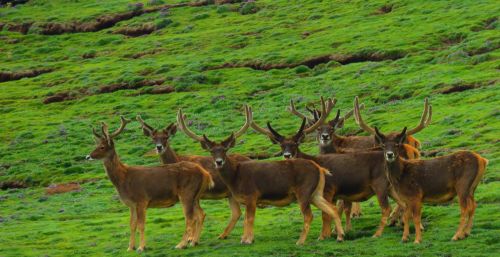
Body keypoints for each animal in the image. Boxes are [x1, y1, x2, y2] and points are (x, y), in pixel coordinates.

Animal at [85, 116, 213, 250]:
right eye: (96, 144)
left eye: (102, 147)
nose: (87, 156)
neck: (123, 180)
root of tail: (205, 173)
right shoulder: (131, 205)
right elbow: (132, 225)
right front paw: (130, 248)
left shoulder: (142, 199)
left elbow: (141, 224)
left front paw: (141, 247)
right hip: (195, 196)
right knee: (201, 214)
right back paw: (194, 241)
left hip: (187, 193)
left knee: (190, 218)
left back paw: (181, 244)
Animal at [175, 104, 344, 244]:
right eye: (211, 151)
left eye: (225, 150)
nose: (218, 162)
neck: (235, 178)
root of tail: (320, 169)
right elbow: (245, 218)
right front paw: (245, 238)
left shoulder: (252, 195)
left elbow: (249, 218)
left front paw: (247, 240)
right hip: (316, 193)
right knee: (331, 208)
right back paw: (340, 236)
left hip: (303, 191)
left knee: (309, 215)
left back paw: (301, 241)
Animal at [252, 99, 408, 239]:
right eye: (281, 145)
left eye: (296, 143)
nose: (287, 155)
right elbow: (332, 212)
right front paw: (333, 233)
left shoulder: (329, 190)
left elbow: (326, 214)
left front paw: (325, 235)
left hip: (380, 185)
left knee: (387, 207)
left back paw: (380, 232)